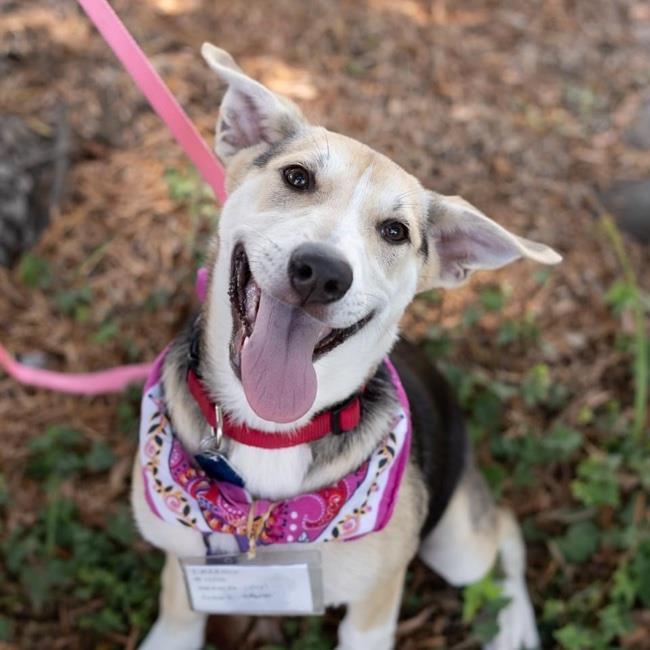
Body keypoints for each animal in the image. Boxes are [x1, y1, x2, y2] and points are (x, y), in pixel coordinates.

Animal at [130, 43, 556, 644]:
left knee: (506, 533)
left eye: (395, 231)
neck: (272, 434)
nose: (322, 272)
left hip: (456, 544)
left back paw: (512, 623)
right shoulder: (184, 569)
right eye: (297, 177)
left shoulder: (372, 613)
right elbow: (177, 622)